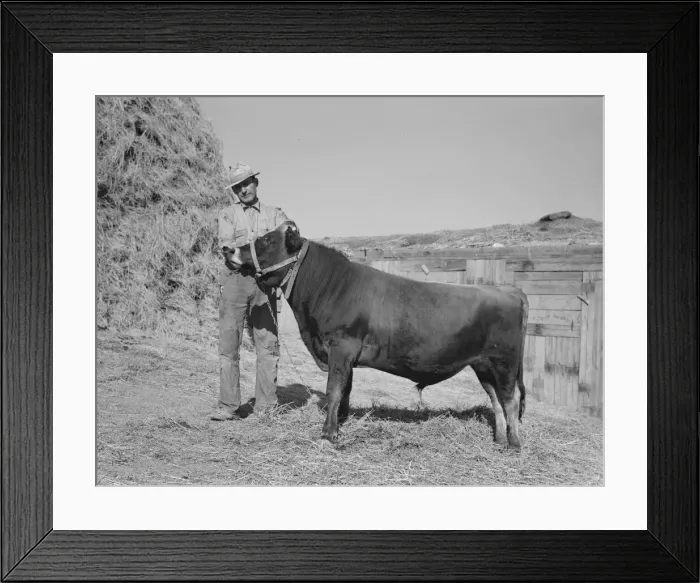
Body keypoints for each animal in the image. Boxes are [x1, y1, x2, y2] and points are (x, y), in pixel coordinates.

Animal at [223, 221, 529, 450]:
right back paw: (499, 440)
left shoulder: (341, 347)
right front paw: (340, 423)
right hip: (483, 365)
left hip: (504, 362)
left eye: (267, 241)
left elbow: (334, 390)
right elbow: (345, 390)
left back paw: (514, 444)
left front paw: (328, 435)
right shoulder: (343, 355)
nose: (227, 249)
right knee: (496, 401)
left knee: (510, 399)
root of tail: (508, 289)